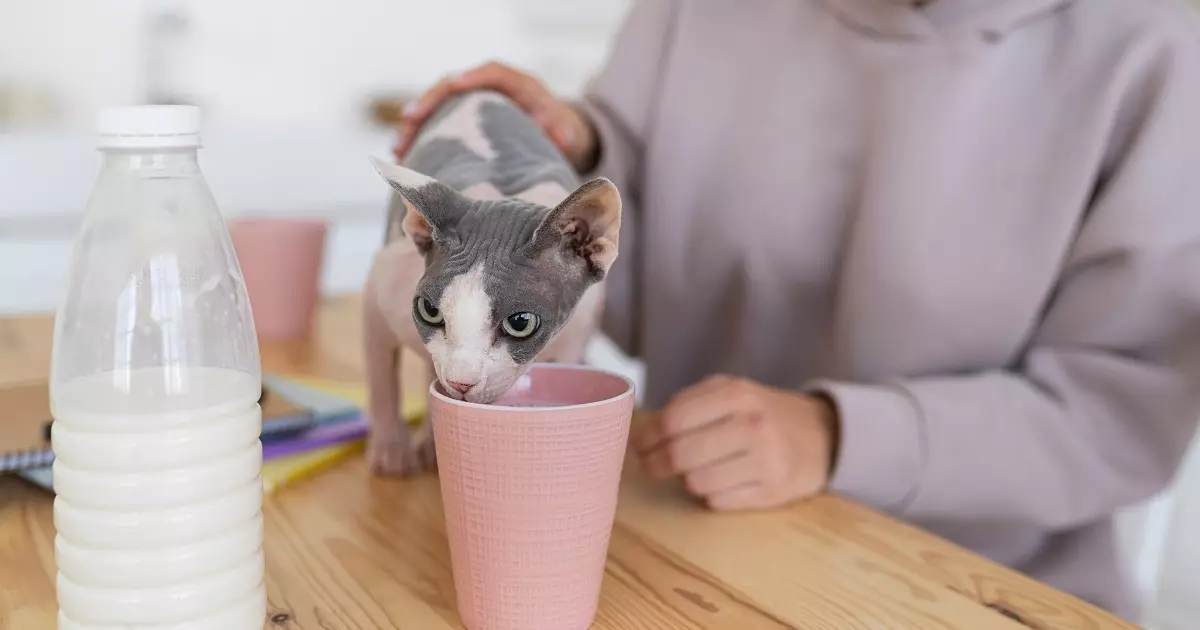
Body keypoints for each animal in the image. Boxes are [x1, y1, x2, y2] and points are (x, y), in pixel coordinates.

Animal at [360, 87, 624, 470]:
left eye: (521, 322)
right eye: (429, 311)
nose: (460, 383)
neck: (504, 194)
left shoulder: (578, 332)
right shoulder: (380, 294)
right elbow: (381, 378)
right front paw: (392, 448)